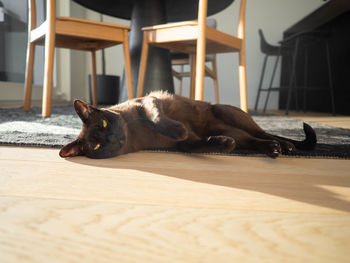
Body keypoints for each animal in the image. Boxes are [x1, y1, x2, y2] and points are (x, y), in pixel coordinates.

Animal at [59, 92, 318, 160]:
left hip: (229, 116)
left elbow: (158, 119)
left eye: (104, 123)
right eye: (96, 146)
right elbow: (200, 145)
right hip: (234, 131)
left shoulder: (149, 101)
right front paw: (224, 145)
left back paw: (285, 147)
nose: (115, 140)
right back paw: (275, 150)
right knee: (256, 141)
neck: (134, 138)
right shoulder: (185, 146)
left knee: (263, 133)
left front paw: (178, 129)